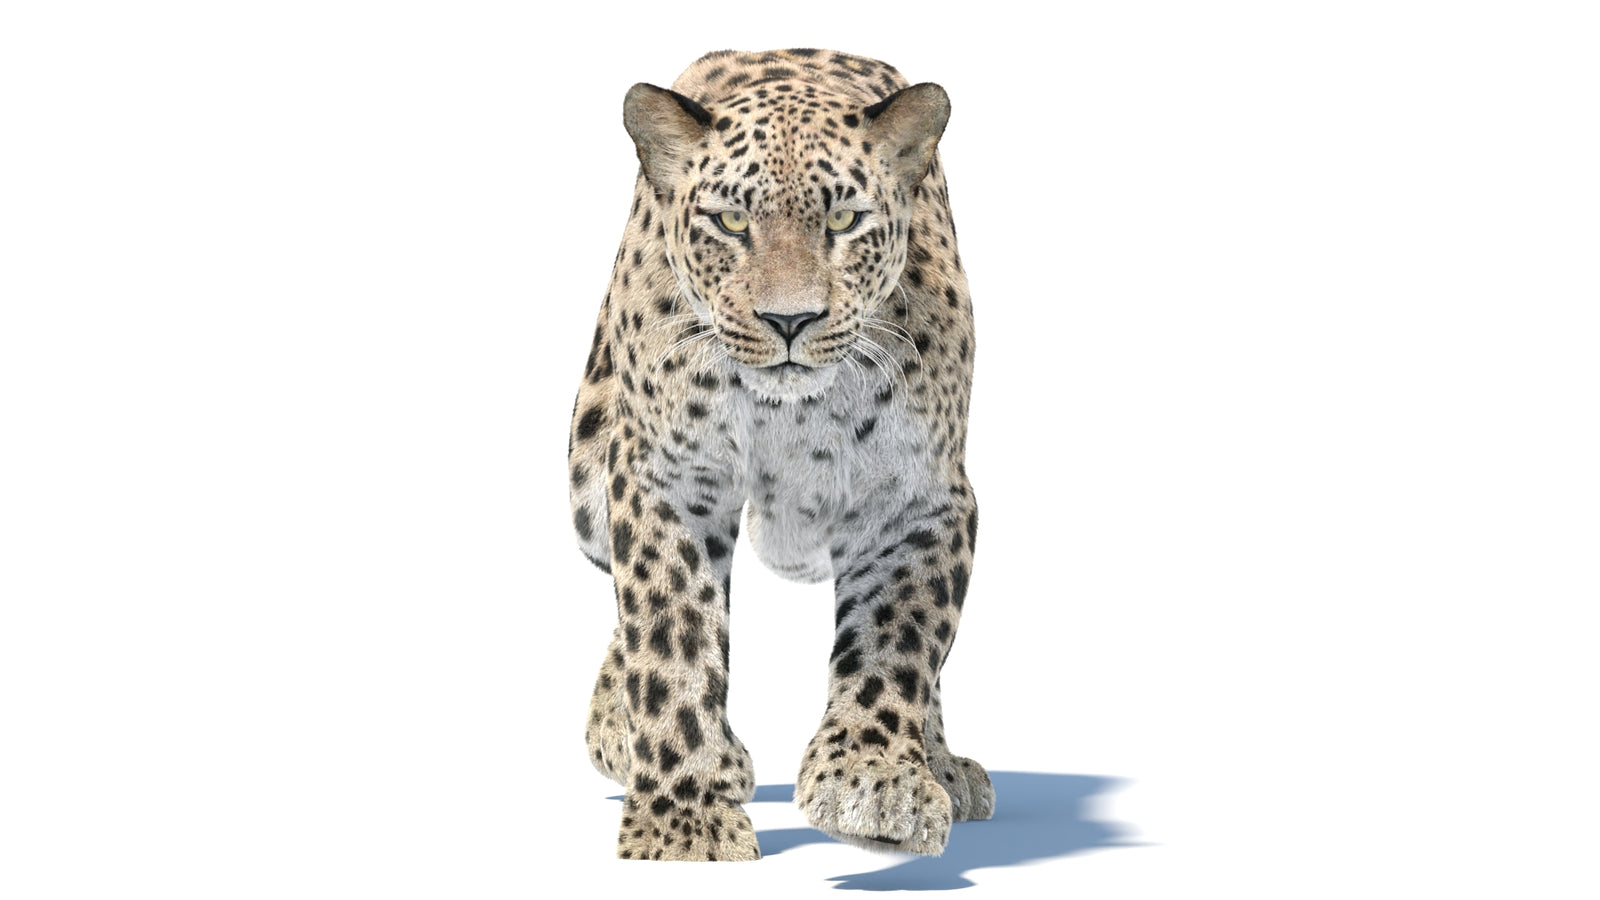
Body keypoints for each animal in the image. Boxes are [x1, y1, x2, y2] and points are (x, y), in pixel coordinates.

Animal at [568, 48, 991, 862]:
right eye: (731, 221)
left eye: (844, 220)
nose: (789, 320)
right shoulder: (667, 480)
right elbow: (670, 635)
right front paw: (682, 821)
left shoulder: (919, 499)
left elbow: (898, 642)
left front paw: (875, 782)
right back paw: (623, 729)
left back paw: (944, 764)